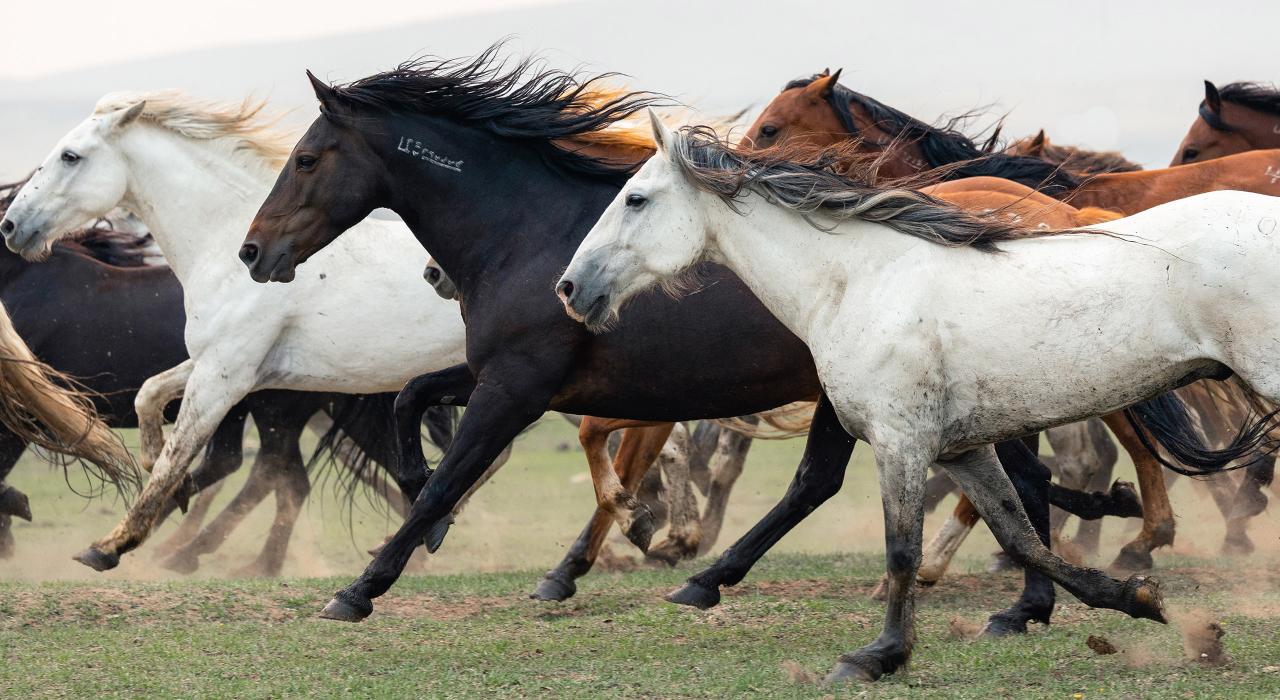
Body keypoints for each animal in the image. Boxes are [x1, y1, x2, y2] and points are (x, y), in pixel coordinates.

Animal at [0, 91, 475, 571]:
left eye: (70, 156)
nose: (12, 225)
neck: (228, 247)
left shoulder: (224, 375)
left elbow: (178, 454)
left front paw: (109, 545)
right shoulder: (227, 365)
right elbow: (150, 396)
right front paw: (160, 475)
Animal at [236, 47, 1211, 638]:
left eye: (308, 158)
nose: (253, 252)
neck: (530, 232)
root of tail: (1042, 212)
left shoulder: (521, 384)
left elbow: (457, 469)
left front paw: (361, 587)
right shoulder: (521, 379)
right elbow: (414, 408)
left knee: (1009, 477)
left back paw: (1033, 597)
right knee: (890, 481)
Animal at [557, 119, 1280, 680]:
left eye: (635, 199)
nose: (570, 288)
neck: (859, 281)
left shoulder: (900, 441)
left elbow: (902, 547)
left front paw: (876, 655)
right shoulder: (961, 449)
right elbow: (1019, 535)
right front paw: (1135, 600)